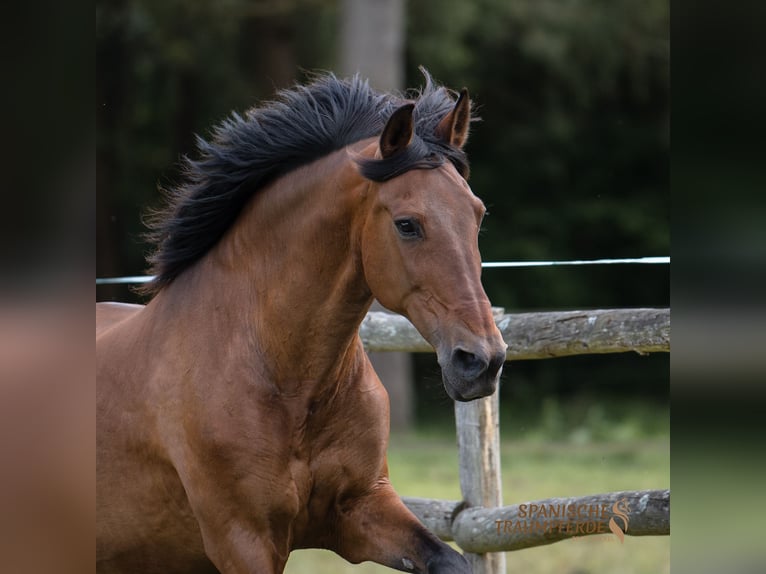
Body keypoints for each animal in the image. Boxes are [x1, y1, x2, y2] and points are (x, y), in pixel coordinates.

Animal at [97, 70, 510, 572]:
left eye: (477, 214)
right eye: (407, 224)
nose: (482, 361)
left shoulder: (363, 509)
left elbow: (451, 560)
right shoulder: (242, 540)